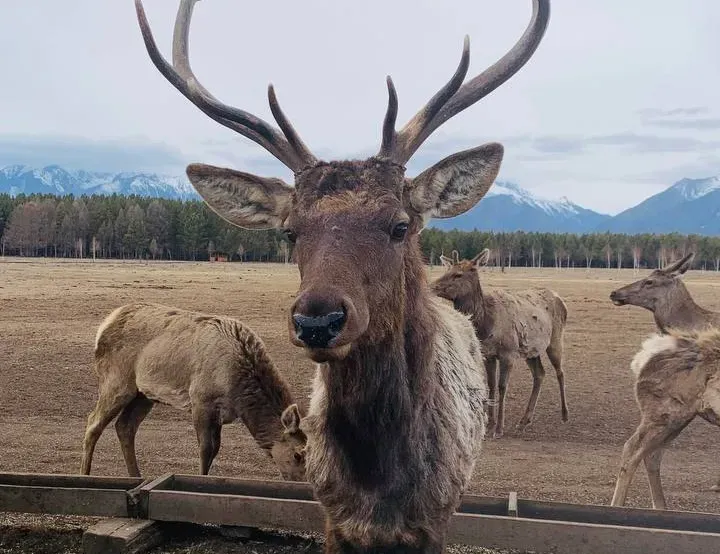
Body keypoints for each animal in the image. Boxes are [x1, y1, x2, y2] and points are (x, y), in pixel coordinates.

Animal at [81, 302, 306, 478]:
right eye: (297, 454)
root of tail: (104, 325)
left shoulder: (219, 413)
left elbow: (216, 449)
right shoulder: (201, 400)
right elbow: (206, 449)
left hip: (144, 394)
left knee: (125, 426)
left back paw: (136, 476)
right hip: (117, 381)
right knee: (93, 422)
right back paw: (85, 474)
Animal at [134, 1, 552, 548]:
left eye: (400, 225)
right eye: (290, 231)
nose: (318, 320)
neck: (377, 484)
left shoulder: (435, 519)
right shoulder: (333, 517)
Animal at [434, 249, 568, 436]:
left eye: (458, 274)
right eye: (446, 270)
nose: (433, 286)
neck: (485, 326)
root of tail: (560, 299)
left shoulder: (508, 353)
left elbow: (502, 386)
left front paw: (499, 428)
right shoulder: (488, 354)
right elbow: (490, 385)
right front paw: (490, 424)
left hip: (555, 339)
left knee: (560, 372)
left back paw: (564, 415)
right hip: (530, 349)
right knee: (540, 374)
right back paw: (524, 420)